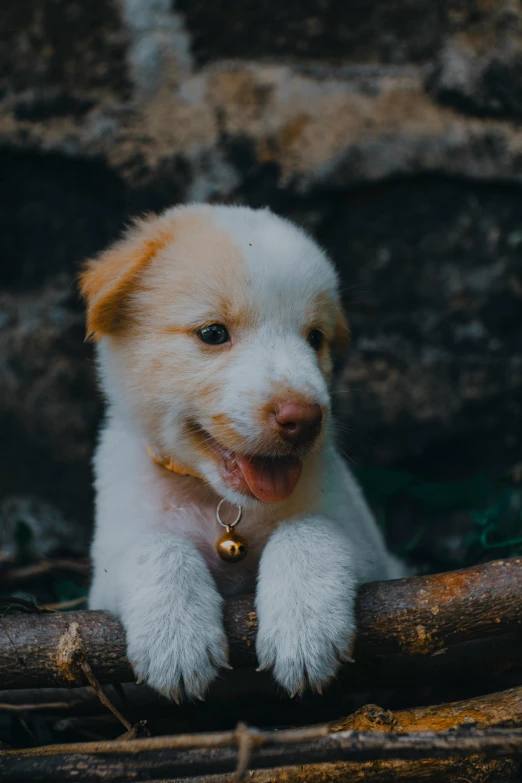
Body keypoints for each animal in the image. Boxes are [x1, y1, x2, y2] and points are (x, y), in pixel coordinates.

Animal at [80, 205, 402, 700]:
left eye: (315, 338)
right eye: (213, 333)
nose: (303, 419)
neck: (224, 507)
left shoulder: (375, 554)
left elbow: (309, 528)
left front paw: (303, 627)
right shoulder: (105, 571)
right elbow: (155, 545)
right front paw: (175, 638)